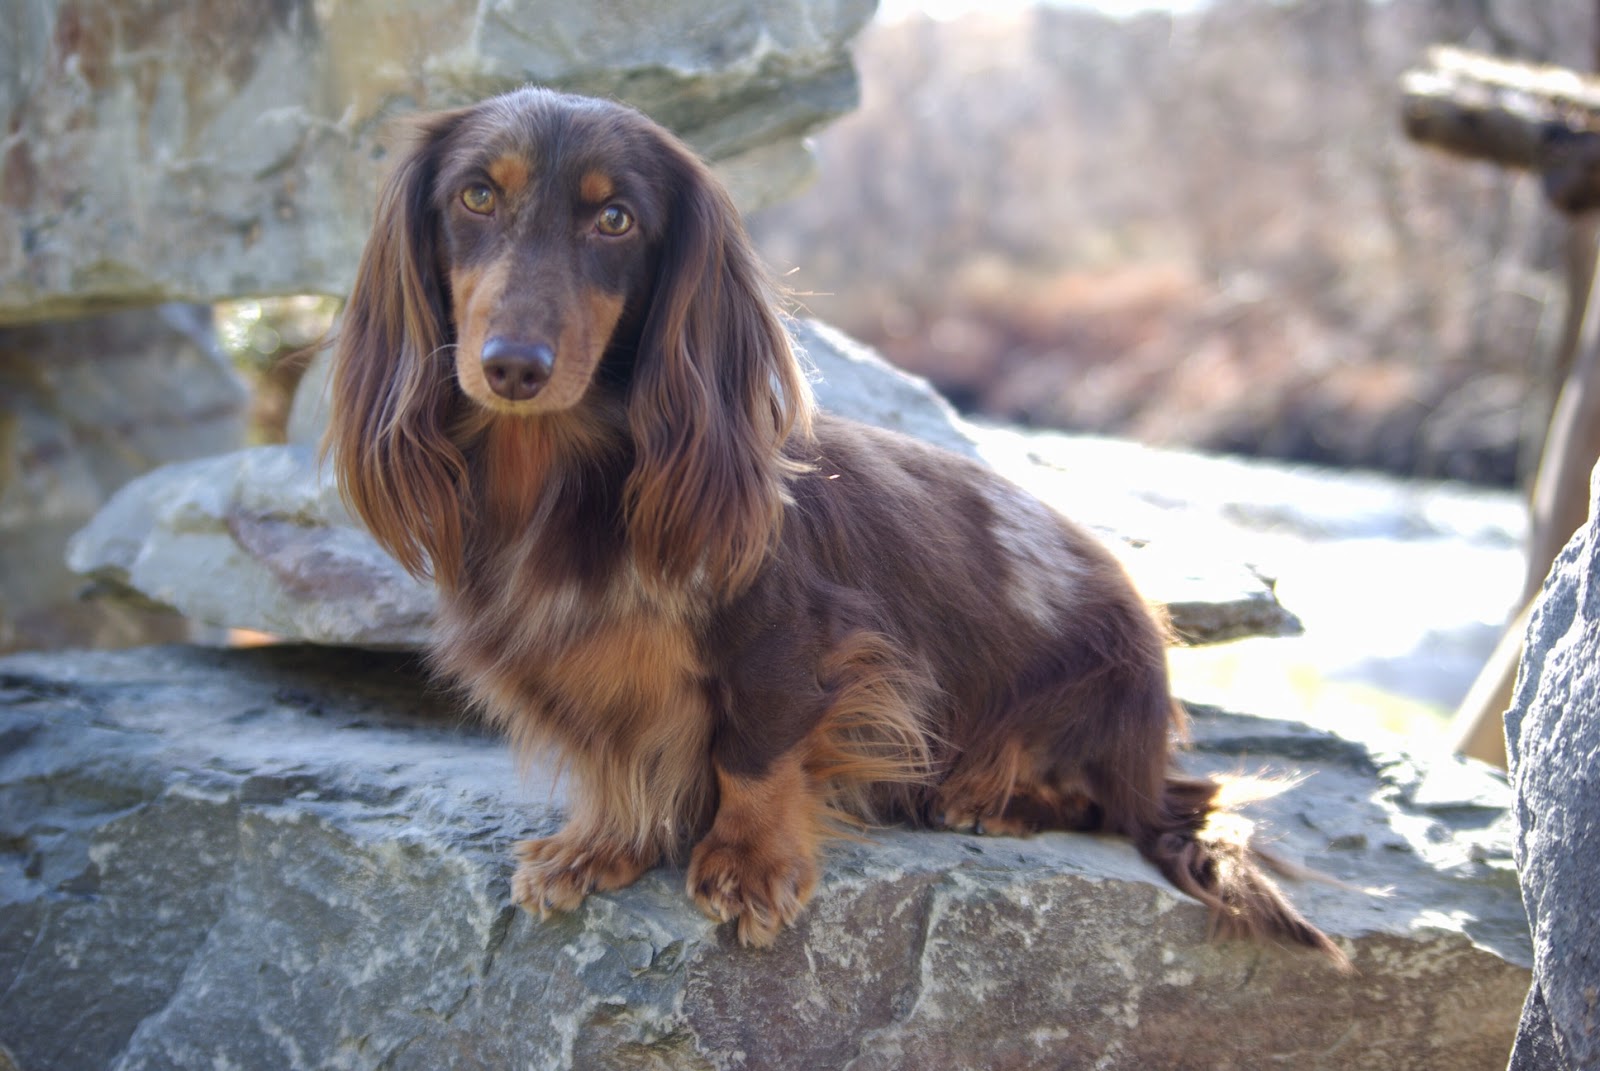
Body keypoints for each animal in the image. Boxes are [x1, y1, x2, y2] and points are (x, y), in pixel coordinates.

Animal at [321, 89, 1337, 960]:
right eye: (476, 195)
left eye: (616, 220)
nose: (513, 366)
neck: (560, 481)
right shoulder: (581, 672)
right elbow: (616, 758)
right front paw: (600, 842)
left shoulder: (795, 640)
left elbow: (756, 749)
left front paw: (748, 863)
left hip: (1095, 699)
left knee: (1105, 800)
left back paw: (994, 795)